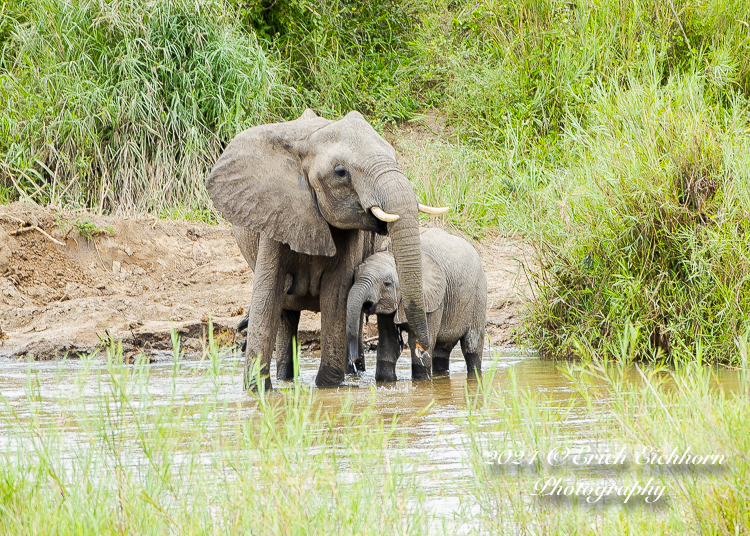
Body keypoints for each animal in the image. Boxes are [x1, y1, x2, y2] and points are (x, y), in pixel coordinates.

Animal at [207, 111, 446, 392]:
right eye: (340, 172)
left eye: (395, 159)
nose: (420, 347)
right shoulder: (274, 215)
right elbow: (267, 298)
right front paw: (256, 392)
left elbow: (337, 294)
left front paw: (328, 388)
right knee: (286, 315)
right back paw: (287, 379)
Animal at [348, 227, 488, 382]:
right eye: (354, 276)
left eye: (387, 283)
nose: (353, 360)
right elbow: (389, 343)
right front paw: (385, 380)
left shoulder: (432, 300)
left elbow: (416, 340)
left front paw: (422, 380)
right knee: (441, 350)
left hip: (479, 295)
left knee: (471, 346)